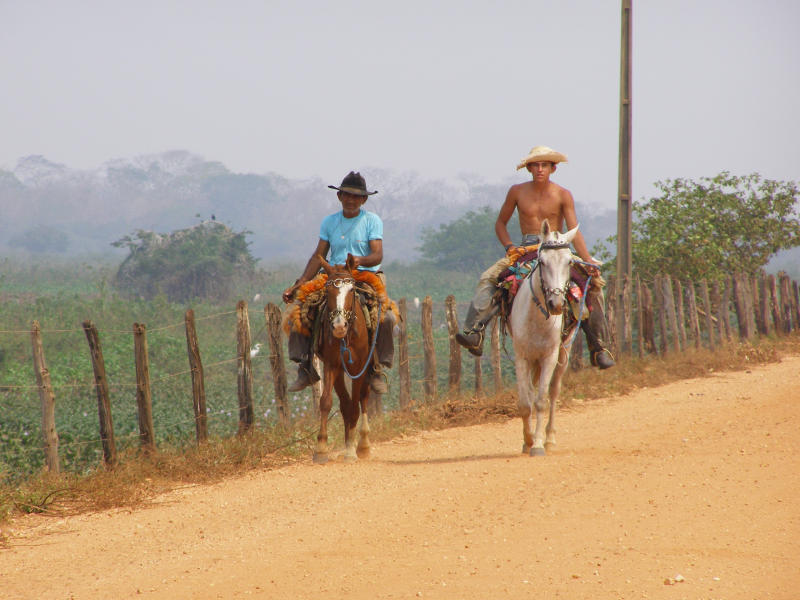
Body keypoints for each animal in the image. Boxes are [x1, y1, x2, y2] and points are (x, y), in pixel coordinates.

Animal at [312, 253, 376, 464]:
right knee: (345, 403)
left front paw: (350, 451)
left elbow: (357, 404)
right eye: (328, 290)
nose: (339, 326)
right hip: (340, 370)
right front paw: (321, 448)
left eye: (352, 290)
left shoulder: (359, 368)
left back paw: (362, 444)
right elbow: (325, 402)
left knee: (363, 398)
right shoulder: (331, 365)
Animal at [510, 218, 580, 458]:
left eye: (569, 262)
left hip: (563, 356)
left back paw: (550, 438)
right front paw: (527, 440)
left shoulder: (549, 357)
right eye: (541, 261)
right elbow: (525, 403)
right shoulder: (521, 357)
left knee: (553, 392)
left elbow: (541, 401)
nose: (556, 304)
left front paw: (538, 444)